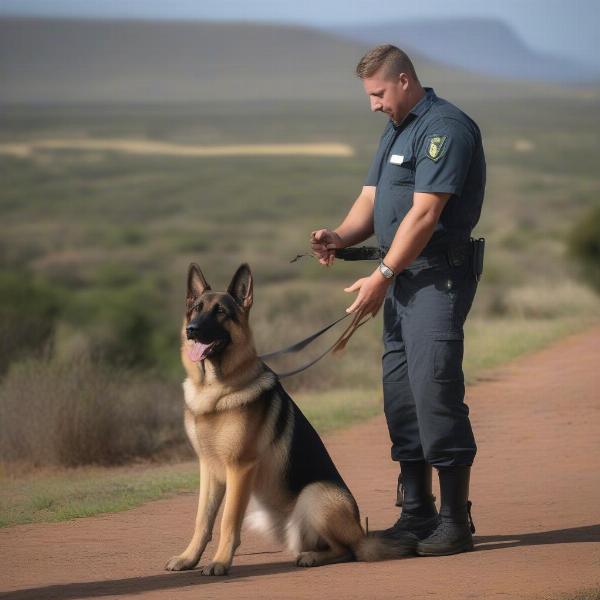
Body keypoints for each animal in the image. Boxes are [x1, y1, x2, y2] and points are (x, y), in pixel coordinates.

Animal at [166, 264, 414, 576]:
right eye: (196, 309)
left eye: (220, 311)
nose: (192, 331)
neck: (215, 389)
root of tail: (361, 533)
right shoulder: (209, 470)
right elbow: (202, 520)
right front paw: (189, 558)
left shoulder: (239, 469)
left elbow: (227, 521)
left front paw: (220, 561)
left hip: (314, 495)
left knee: (348, 551)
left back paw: (312, 557)